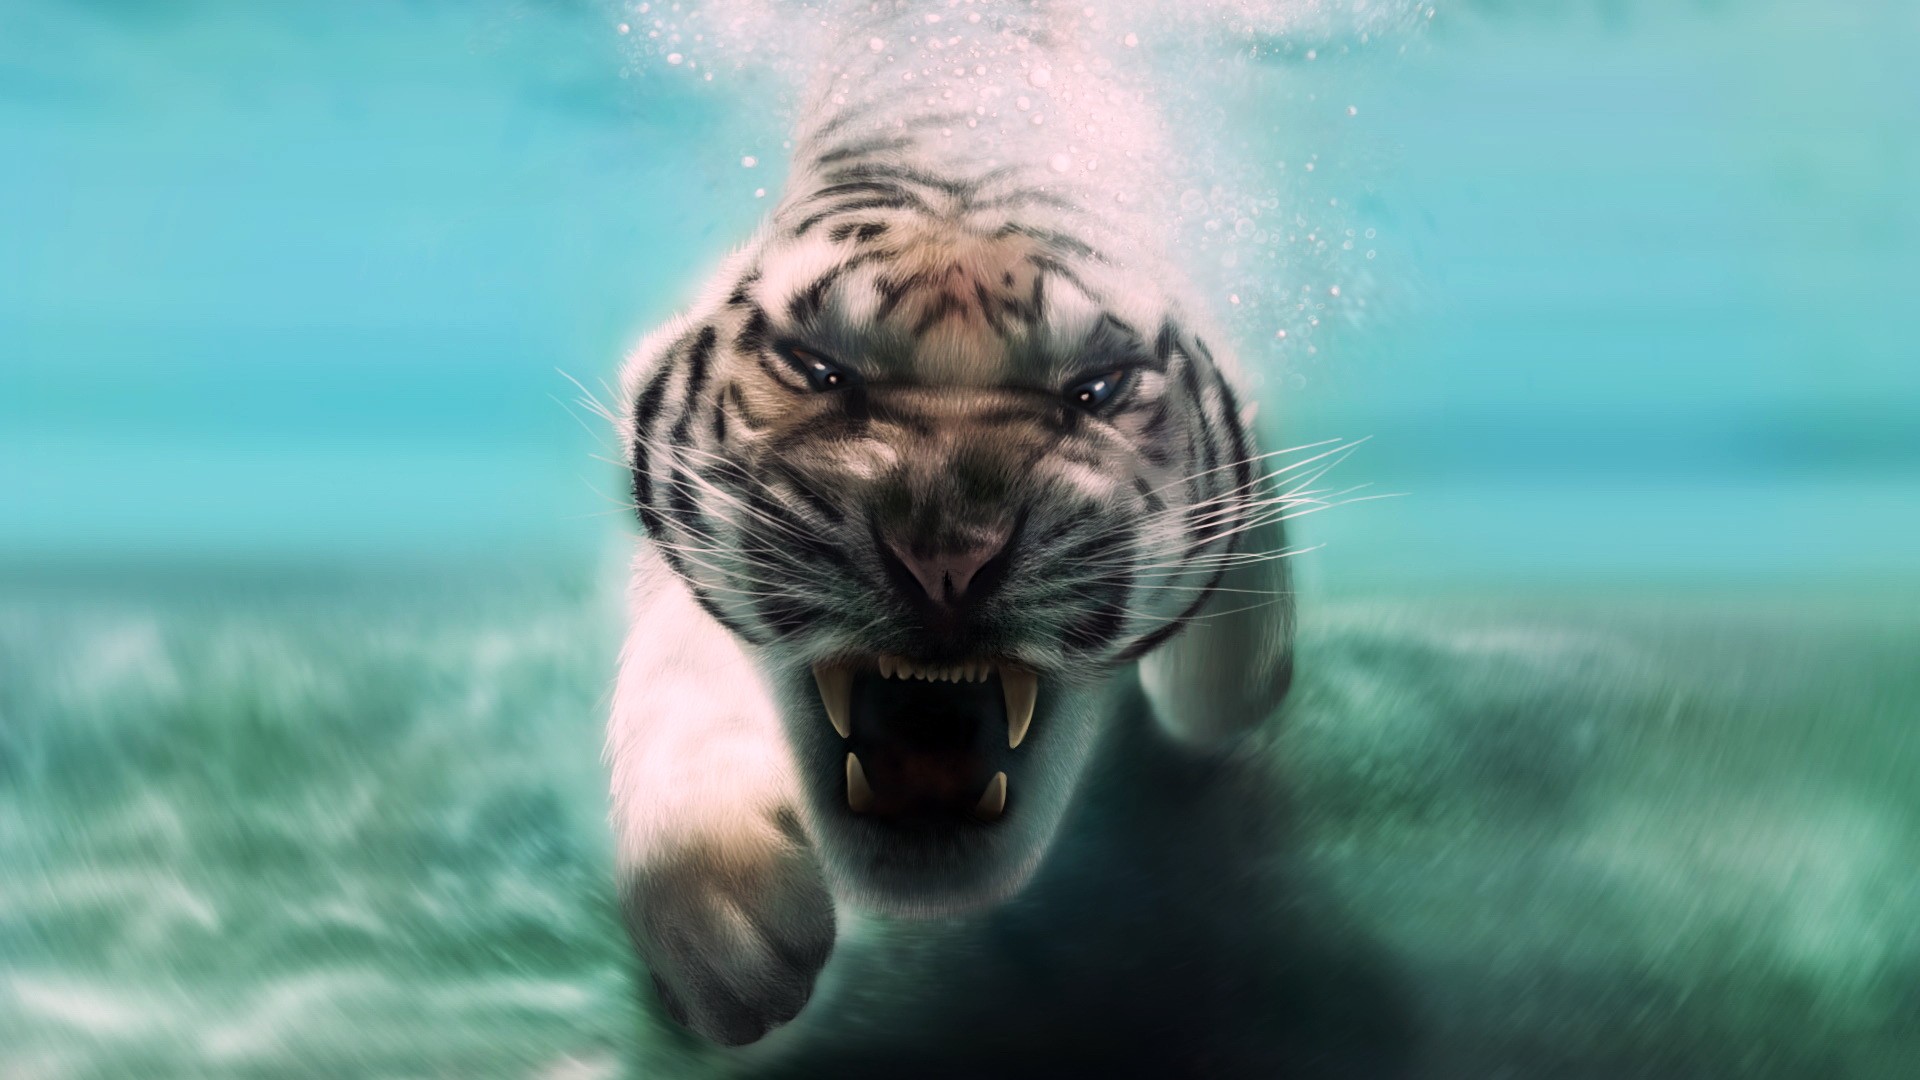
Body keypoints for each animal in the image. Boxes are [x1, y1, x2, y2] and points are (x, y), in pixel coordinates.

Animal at [606, 0, 1297, 1047]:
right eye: (817, 368)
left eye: (1097, 388)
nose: (944, 555)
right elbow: (680, 656)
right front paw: (716, 899)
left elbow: (1237, 674)